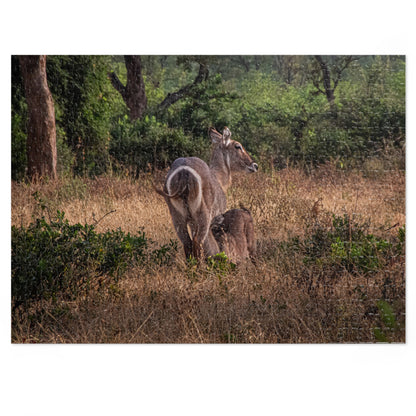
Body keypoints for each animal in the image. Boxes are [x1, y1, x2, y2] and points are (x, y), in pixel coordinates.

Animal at [156, 126, 256, 260]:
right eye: (237, 146)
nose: (254, 165)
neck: (219, 179)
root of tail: (184, 170)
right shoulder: (216, 217)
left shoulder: (192, 222)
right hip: (203, 215)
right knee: (197, 242)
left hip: (177, 216)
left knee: (187, 243)